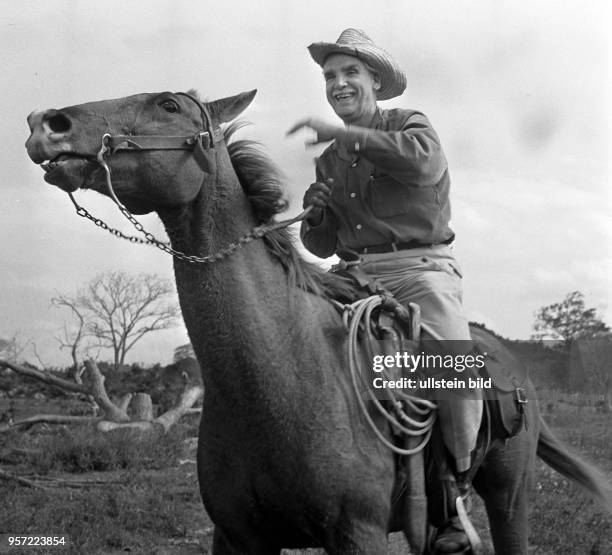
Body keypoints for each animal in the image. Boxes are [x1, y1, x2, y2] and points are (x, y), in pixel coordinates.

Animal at [25, 89, 612, 552]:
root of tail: (515, 368)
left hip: (509, 497)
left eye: (167, 104)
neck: (280, 370)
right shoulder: (237, 537)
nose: (45, 123)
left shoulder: (358, 533)